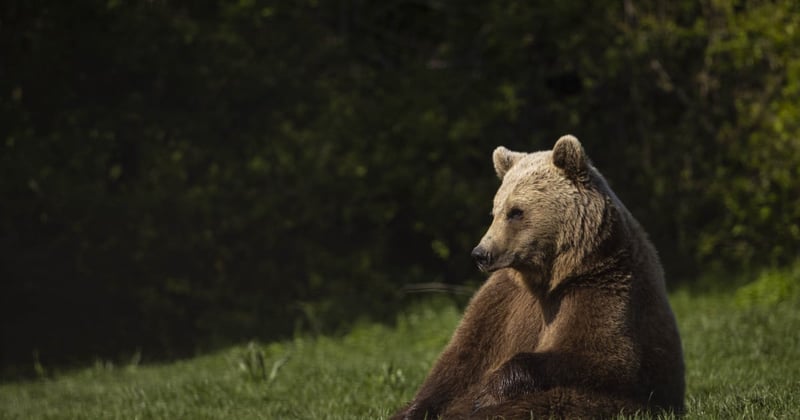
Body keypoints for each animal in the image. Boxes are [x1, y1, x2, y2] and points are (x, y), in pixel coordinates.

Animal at [390, 136, 684, 418]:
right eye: (495, 211)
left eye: (516, 212)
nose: (481, 254)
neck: (549, 277)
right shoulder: (503, 300)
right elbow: (461, 361)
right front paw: (412, 410)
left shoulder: (601, 285)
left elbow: (605, 357)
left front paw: (487, 395)